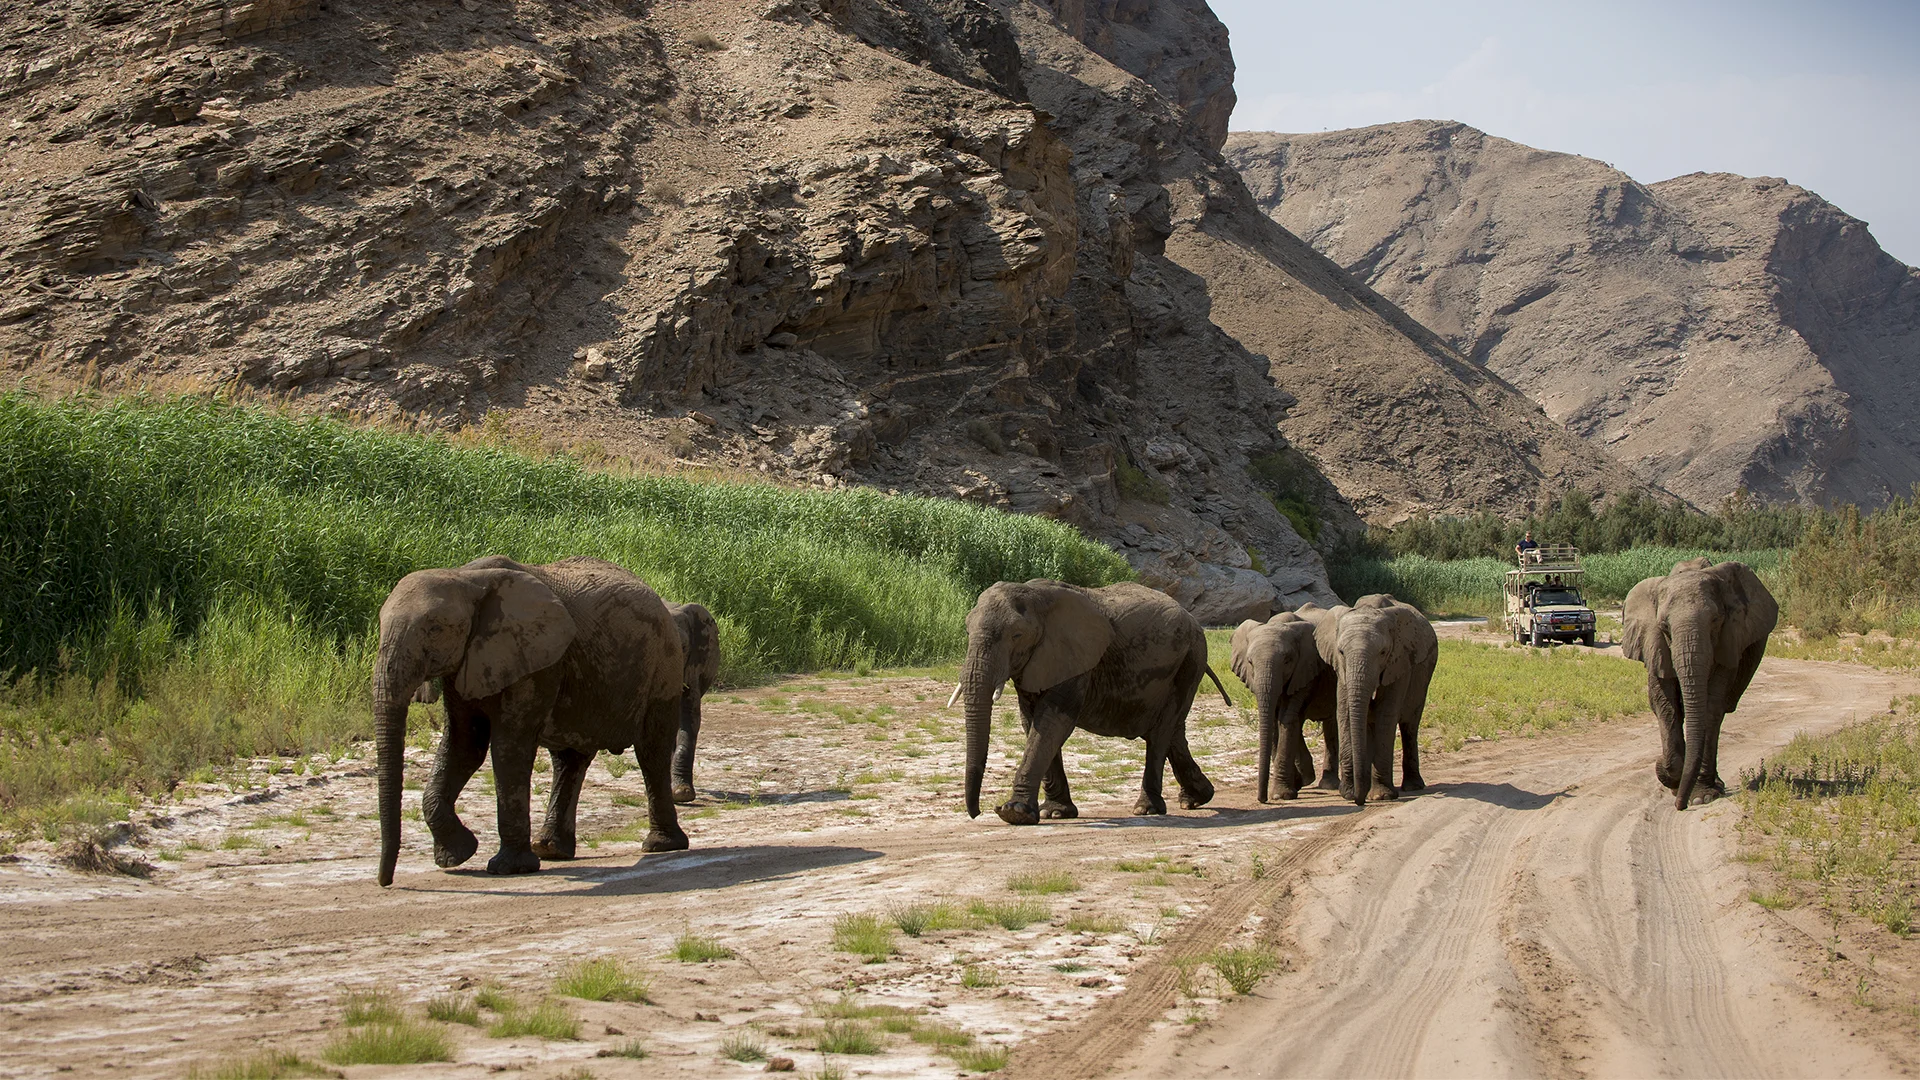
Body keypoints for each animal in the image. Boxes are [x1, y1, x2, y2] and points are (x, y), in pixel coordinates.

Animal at [371, 555, 688, 886]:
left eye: (434, 629)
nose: (386, 881)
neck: (464, 578)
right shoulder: (467, 662)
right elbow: (464, 745)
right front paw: (457, 855)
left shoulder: (534, 660)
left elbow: (508, 747)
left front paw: (508, 868)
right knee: (569, 760)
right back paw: (551, 850)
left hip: (663, 664)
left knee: (651, 751)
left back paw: (661, 845)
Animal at [957, 579, 1233, 825]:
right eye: (967, 631)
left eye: (1017, 635)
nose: (977, 813)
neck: (1034, 595)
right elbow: (1031, 721)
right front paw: (1055, 813)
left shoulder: (1076, 659)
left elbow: (1052, 722)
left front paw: (1015, 814)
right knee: (1172, 730)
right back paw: (1196, 799)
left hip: (1191, 659)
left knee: (1160, 733)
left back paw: (1148, 809)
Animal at [1230, 604, 1346, 801]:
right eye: (1250, 662)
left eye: (1287, 660)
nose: (1262, 799)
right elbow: (1274, 720)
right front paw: (1297, 783)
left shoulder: (1305, 669)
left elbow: (1288, 718)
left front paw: (1281, 795)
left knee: (1332, 722)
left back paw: (1328, 784)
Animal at [1332, 594, 1437, 807]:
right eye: (1341, 652)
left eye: (1382, 652)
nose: (1359, 801)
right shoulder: (1342, 671)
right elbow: (1344, 714)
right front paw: (1348, 793)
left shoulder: (1399, 663)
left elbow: (1386, 715)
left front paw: (1381, 796)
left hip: (1423, 675)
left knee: (1409, 725)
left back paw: (1413, 787)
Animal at [1621, 558, 1777, 809]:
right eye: (1664, 628)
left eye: (1715, 621)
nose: (1680, 806)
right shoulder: (1654, 645)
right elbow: (1665, 705)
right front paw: (1673, 778)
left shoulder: (1729, 640)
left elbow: (1710, 705)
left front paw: (1699, 797)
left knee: (1717, 714)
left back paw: (1714, 785)